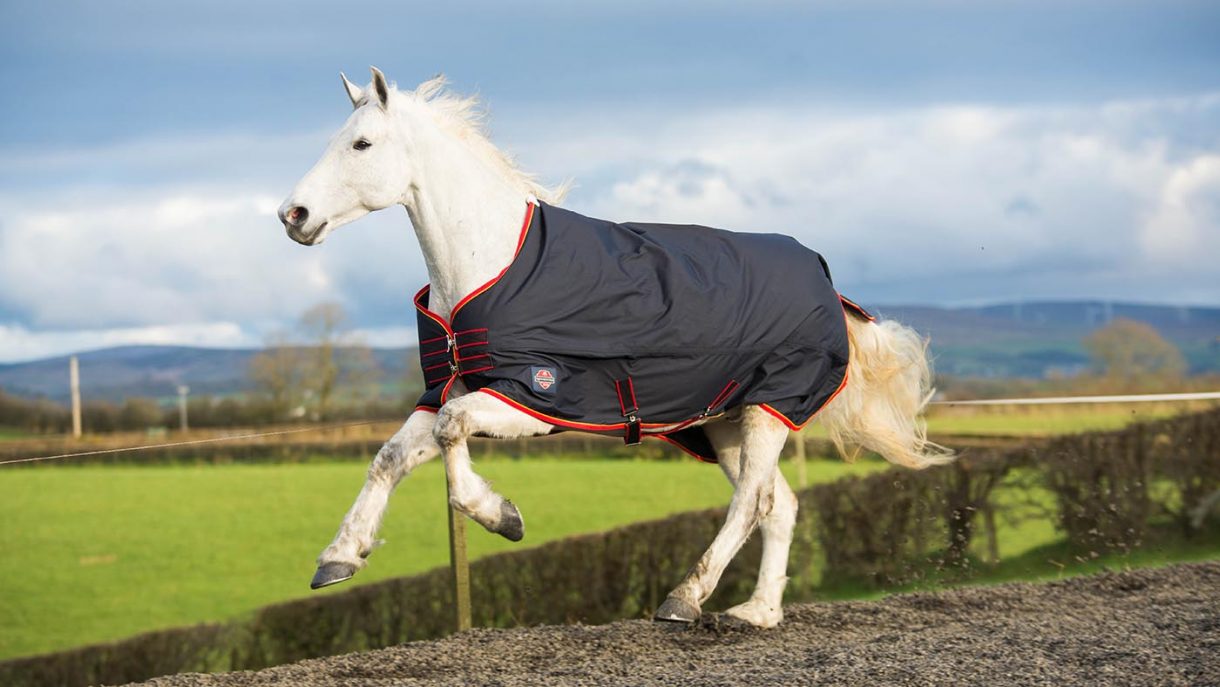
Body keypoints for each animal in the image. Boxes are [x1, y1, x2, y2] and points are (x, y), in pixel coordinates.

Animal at [278, 67, 953, 628]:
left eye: (362, 144)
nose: (293, 215)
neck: (493, 264)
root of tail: (826, 282)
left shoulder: (535, 396)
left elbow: (452, 429)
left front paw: (502, 516)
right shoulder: (455, 386)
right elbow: (390, 456)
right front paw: (340, 557)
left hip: (771, 408)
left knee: (751, 504)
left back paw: (685, 600)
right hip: (724, 422)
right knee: (776, 504)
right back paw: (757, 613)